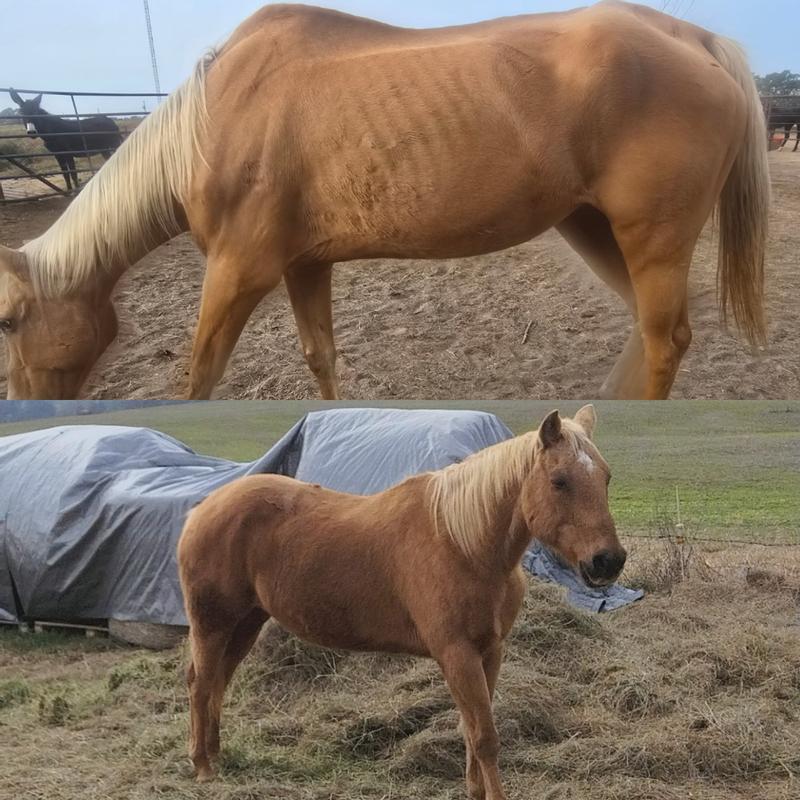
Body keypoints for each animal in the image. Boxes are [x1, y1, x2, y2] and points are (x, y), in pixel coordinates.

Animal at [0, 2, 770, 400]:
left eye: (8, 321)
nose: (24, 408)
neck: (216, 117)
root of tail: (697, 38)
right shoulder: (303, 265)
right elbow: (320, 358)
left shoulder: (238, 270)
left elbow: (201, 375)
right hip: (592, 227)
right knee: (648, 331)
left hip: (651, 237)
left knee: (666, 340)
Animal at [177, 405, 625, 798]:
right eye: (560, 481)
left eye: (606, 477)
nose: (608, 561)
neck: (463, 544)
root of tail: (204, 508)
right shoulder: (457, 654)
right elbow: (485, 736)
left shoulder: (489, 651)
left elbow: (471, 730)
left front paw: (474, 790)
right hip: (213, 623)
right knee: (201, 683)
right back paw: (203, 766)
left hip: (246, 623)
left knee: (218, 682)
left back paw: (217, 756)